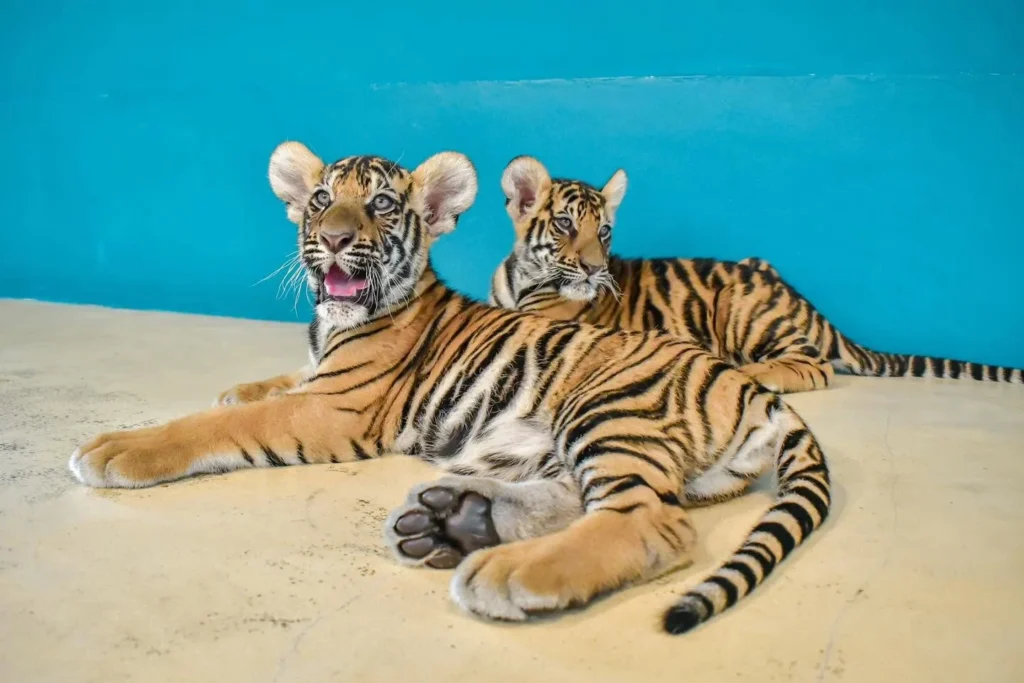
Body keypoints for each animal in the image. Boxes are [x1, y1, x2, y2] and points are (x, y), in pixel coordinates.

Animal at [69, 143, 831, 635]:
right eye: (320, 200)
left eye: (380, 204)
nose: (333, 238)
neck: (335, 321)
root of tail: (757, 392)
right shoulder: (316, 377)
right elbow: (271, 383)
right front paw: (238, 387)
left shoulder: (333, 407)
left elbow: (220, 425)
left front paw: (117, 448)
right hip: (548, 440)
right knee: (581, 498)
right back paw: (457, 522)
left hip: (610, 409)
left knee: (651, 521)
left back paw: (504, 572)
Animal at [489, 156, 1024, 393]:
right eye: (565, 224)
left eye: (604, 232)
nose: (597, 268)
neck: (523, 278)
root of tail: (804, 302)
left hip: (740, 305)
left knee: (816, 366)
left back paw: (748, 372)